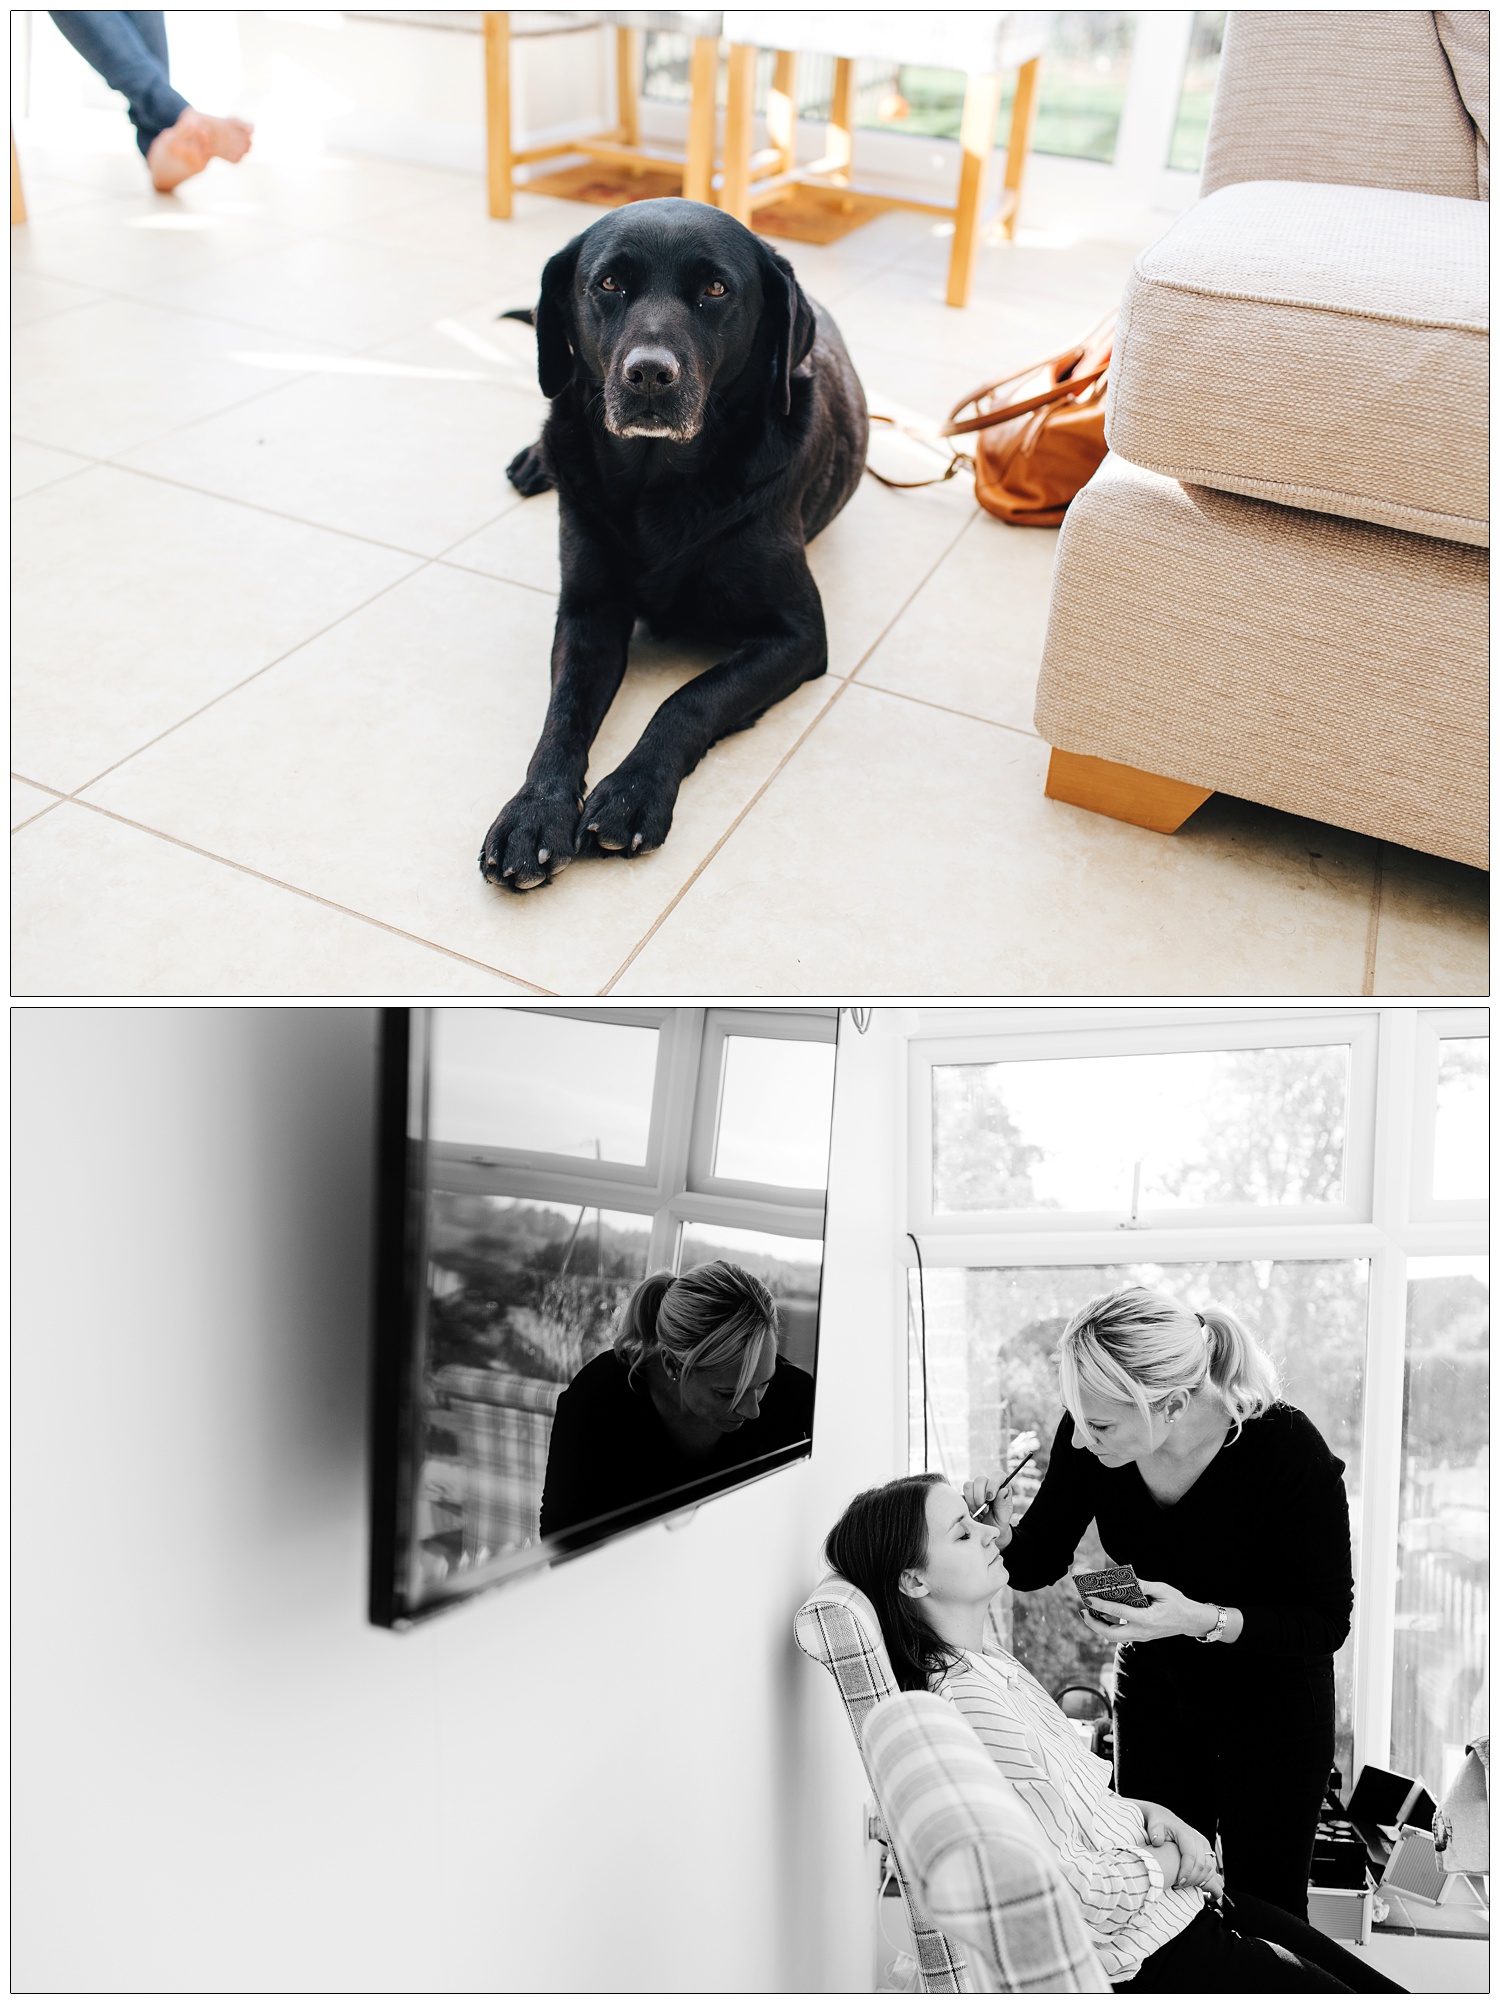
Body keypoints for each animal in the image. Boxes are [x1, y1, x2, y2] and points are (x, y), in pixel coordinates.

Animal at [474, 199, 861, 889]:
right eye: (608, 283)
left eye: (716, 289)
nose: (649, 374)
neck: (658, 481)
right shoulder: (588, 611)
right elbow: (561, 716)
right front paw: (533, 813)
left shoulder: (797, 636)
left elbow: (689, 699)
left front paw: (631, 793)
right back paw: (535, 460)